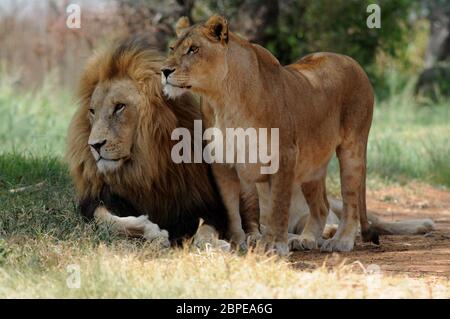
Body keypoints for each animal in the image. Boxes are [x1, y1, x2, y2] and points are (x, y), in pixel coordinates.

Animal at [161, 15, 426, 255]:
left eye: (194, 49)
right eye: (172, 48)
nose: (164, 70)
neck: (223, 100)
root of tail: (349, 60)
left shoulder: (283, 155)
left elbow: (278, 207)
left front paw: (274, 245)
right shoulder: (222, 164)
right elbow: (231, 210)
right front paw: (238, 244)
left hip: (352, 149)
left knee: (349, 202)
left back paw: (340, 241)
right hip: (311, 167)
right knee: (321, 207)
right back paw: (306, 239)